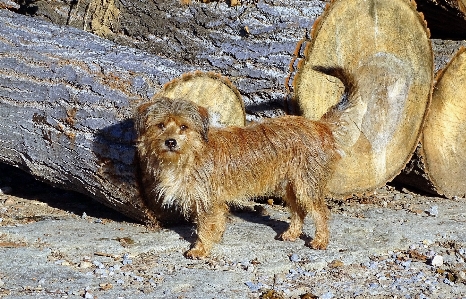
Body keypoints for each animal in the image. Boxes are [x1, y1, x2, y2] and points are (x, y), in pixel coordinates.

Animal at [135, 98, 342, 260]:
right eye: (160, 125)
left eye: (184, 127)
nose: (170, 142)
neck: (193, 153)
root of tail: (320, 126)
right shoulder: (212, 201)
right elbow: (215, 223)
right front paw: (214, 239)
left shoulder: (207, 201)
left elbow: (204, 227)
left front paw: (200, 249)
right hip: (290, 186)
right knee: (299, 210)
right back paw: (291, 233)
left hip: (307, 185)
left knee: (320, 212)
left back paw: (320, 240)